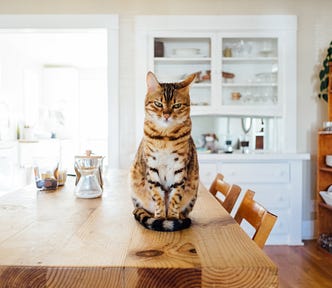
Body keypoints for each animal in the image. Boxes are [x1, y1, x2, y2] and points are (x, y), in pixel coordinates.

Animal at [129, 72, 197, 232]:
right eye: (158, 104)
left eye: (177, 105)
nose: (166, 115)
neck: (165, 137)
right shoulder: (152, 167)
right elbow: (157, 196)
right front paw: (160, 218)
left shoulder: (180, 168)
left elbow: (175, 197)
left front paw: (172, 218)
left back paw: (181, 217)